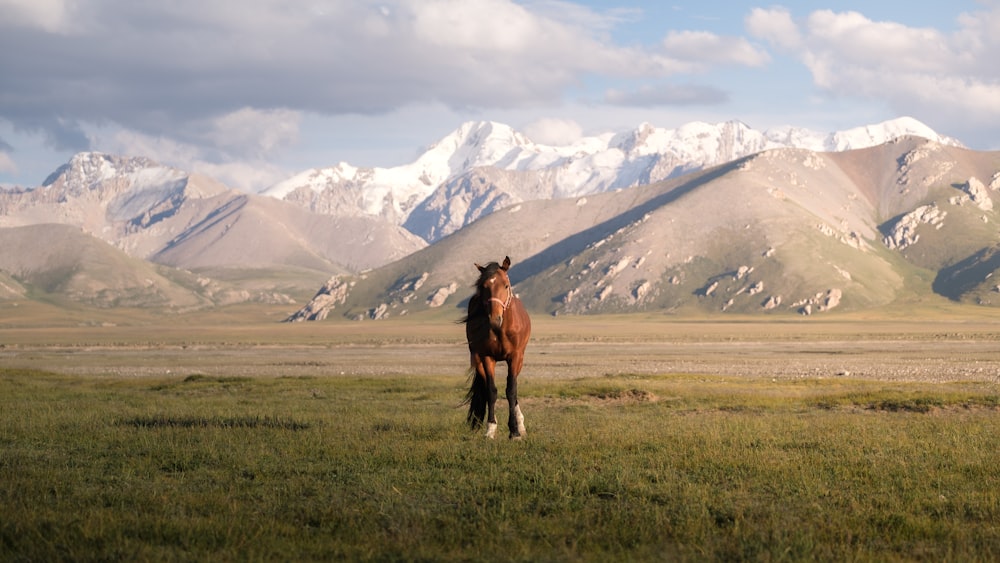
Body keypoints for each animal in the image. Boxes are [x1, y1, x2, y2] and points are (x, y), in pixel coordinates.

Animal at [460, 256, 532, 440]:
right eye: (484, 287)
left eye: (505, 285)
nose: (494, 319)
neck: (501, 330)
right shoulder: (486, 357)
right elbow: (492, 391)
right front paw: (491, 428)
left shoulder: (515, 357)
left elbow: (511, 391)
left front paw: (514, 431)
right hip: (477, 359)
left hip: (520, 360)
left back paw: (520, 424)